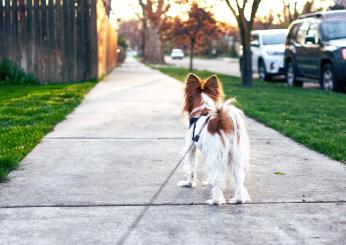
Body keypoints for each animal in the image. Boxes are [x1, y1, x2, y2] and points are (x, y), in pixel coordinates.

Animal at [178, 72, 251, 205]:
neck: (203, 109)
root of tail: (222, 121)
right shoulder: (208, 153)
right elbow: (209, 173)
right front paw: (209, 182)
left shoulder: (191, 148)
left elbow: (191, 169)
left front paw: (188, 184)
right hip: (235, 156)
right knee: (238, 178)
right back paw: (238, 199)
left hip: (217, 156)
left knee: (218, 179)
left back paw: (215, 200)